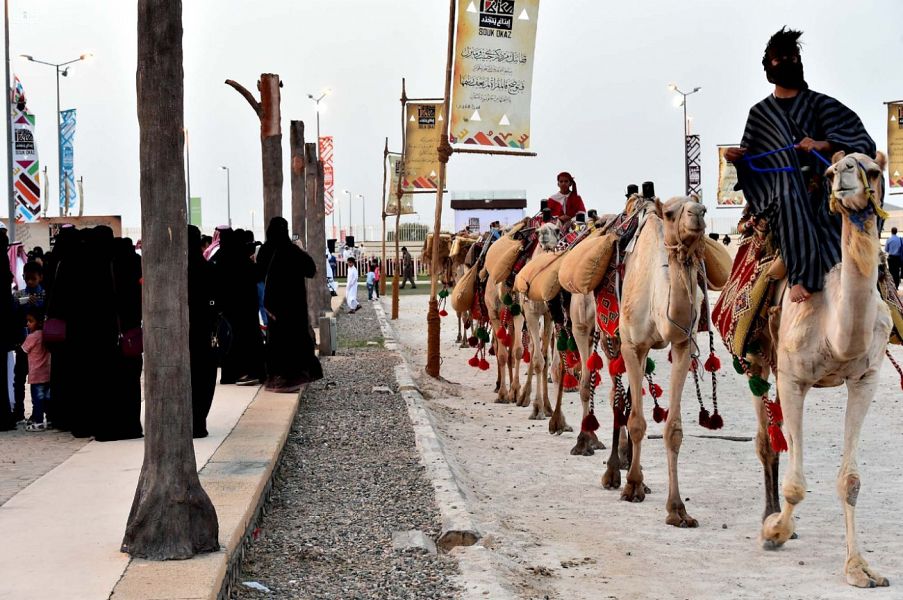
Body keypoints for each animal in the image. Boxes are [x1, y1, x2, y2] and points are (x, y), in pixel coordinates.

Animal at [604, 195, 708, 528]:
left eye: (701, 206)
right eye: (672, 213)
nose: (698, 214)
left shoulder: (682, 344)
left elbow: (673, 429)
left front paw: (677, 509)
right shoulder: (631, 344)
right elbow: (636, 421)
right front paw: (632, 486)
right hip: (609, 339)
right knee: (615, 398)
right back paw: (613, 471)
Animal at [752, 152, 892, 588]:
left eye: (873, 171)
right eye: (830, 172)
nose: (842, 174)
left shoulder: (866, 379)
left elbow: (851, 481)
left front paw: (860, 568)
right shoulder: (793, 378)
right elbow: (796, 484)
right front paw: (775, 531)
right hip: (760, 361)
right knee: (766, 439)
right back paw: (770, 514)